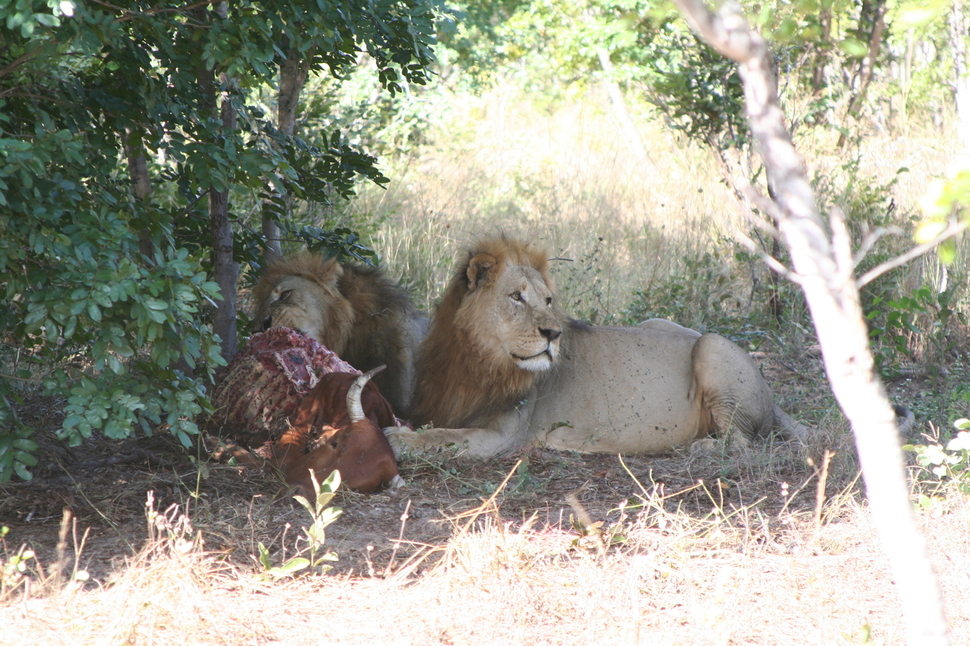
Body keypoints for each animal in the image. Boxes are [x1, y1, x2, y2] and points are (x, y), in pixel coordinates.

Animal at [386, 235, 808, 458]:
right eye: (517, 298)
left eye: (548, 301)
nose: (554, 334)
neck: (477, 359)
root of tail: (774, 401)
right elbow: (437, 427)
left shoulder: (502, 437)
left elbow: (443, 437)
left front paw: (398, 439)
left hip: (712, 346)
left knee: (743, 444)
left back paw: (700, 446)